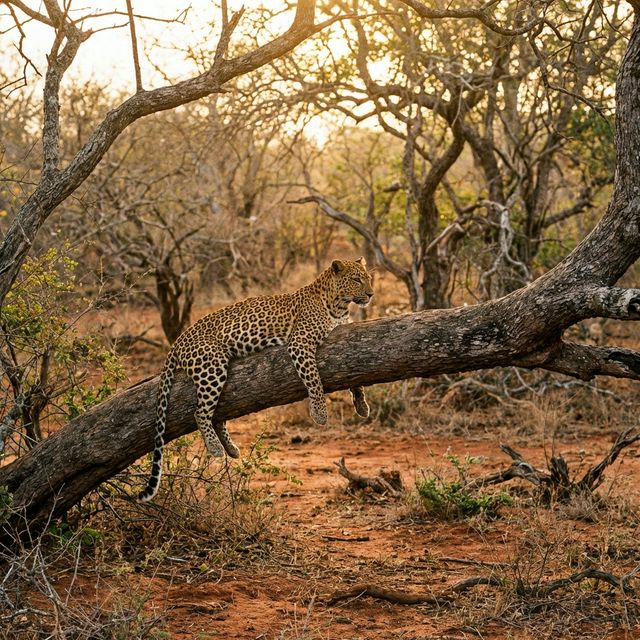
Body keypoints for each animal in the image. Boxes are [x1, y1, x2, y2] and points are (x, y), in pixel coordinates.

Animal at [137, 257, 374, 502]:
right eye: (356, 279)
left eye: (368, 278)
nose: (371, 294)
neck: (338, 306)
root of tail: (179, 339)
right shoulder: (300, 343)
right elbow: (314, 379)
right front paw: (319, 413)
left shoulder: (345, 335)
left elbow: (355, 378)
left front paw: (361, 405)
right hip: (212, 366)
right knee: (200, 412)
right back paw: (215, 448)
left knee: (216, 416)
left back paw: (231, 449)